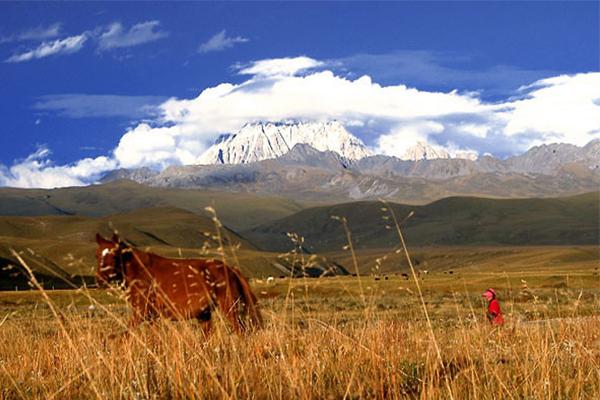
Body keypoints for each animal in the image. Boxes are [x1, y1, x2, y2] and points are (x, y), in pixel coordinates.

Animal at [95, 233, 260, 332]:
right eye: (97, 255)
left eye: (114, 256)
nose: (100, 280)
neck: (140, 270)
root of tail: (231, 269)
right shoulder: (152, 317)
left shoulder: (142, 313)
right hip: (205, 315)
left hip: (229, 308)